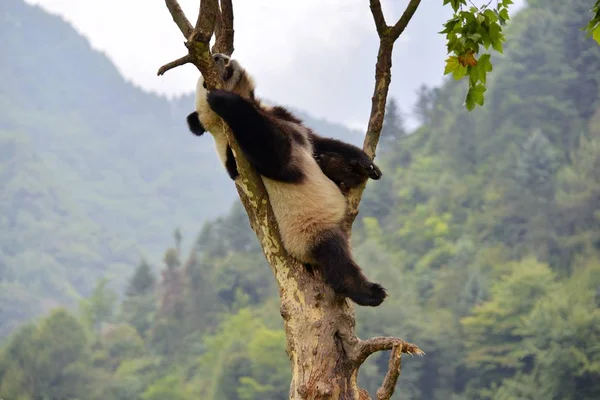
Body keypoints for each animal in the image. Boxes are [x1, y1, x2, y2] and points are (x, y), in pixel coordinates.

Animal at [185, 53, 386, 306]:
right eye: (204, 83)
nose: (217, 56)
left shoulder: (283, 116)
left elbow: (318, 141)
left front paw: (364, 163)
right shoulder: (235, 151)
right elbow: (276, 157)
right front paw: (222, 99)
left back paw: (345, 172)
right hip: (307, 230)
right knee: (334, 254)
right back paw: (368, 291)